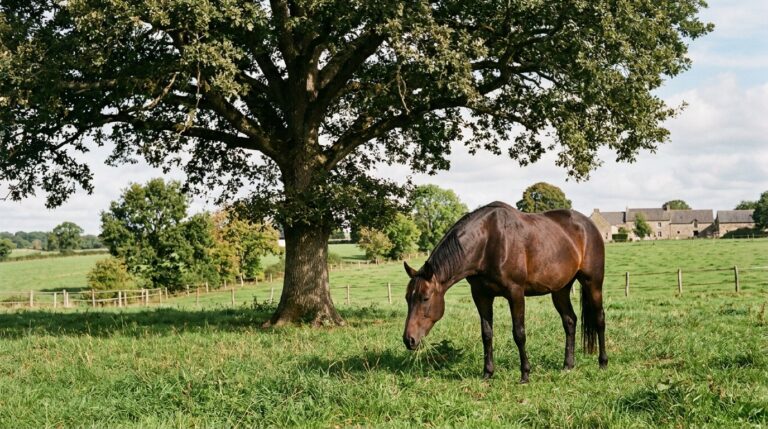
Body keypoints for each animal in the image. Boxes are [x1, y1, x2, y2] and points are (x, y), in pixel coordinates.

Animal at [402, 201, 607, 382]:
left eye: (425, 298)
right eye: (407, 299)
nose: (408, 340)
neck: (487, 242)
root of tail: (589, 225)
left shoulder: (515, 293)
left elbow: (519, 333)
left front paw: (525, 374)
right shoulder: (481, 296)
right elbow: (486, 334)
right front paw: (487, 373)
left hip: (593, 283)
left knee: (599, 319)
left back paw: (603, 363)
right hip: (560, 289)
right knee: (570, 321)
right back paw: (568, 365)